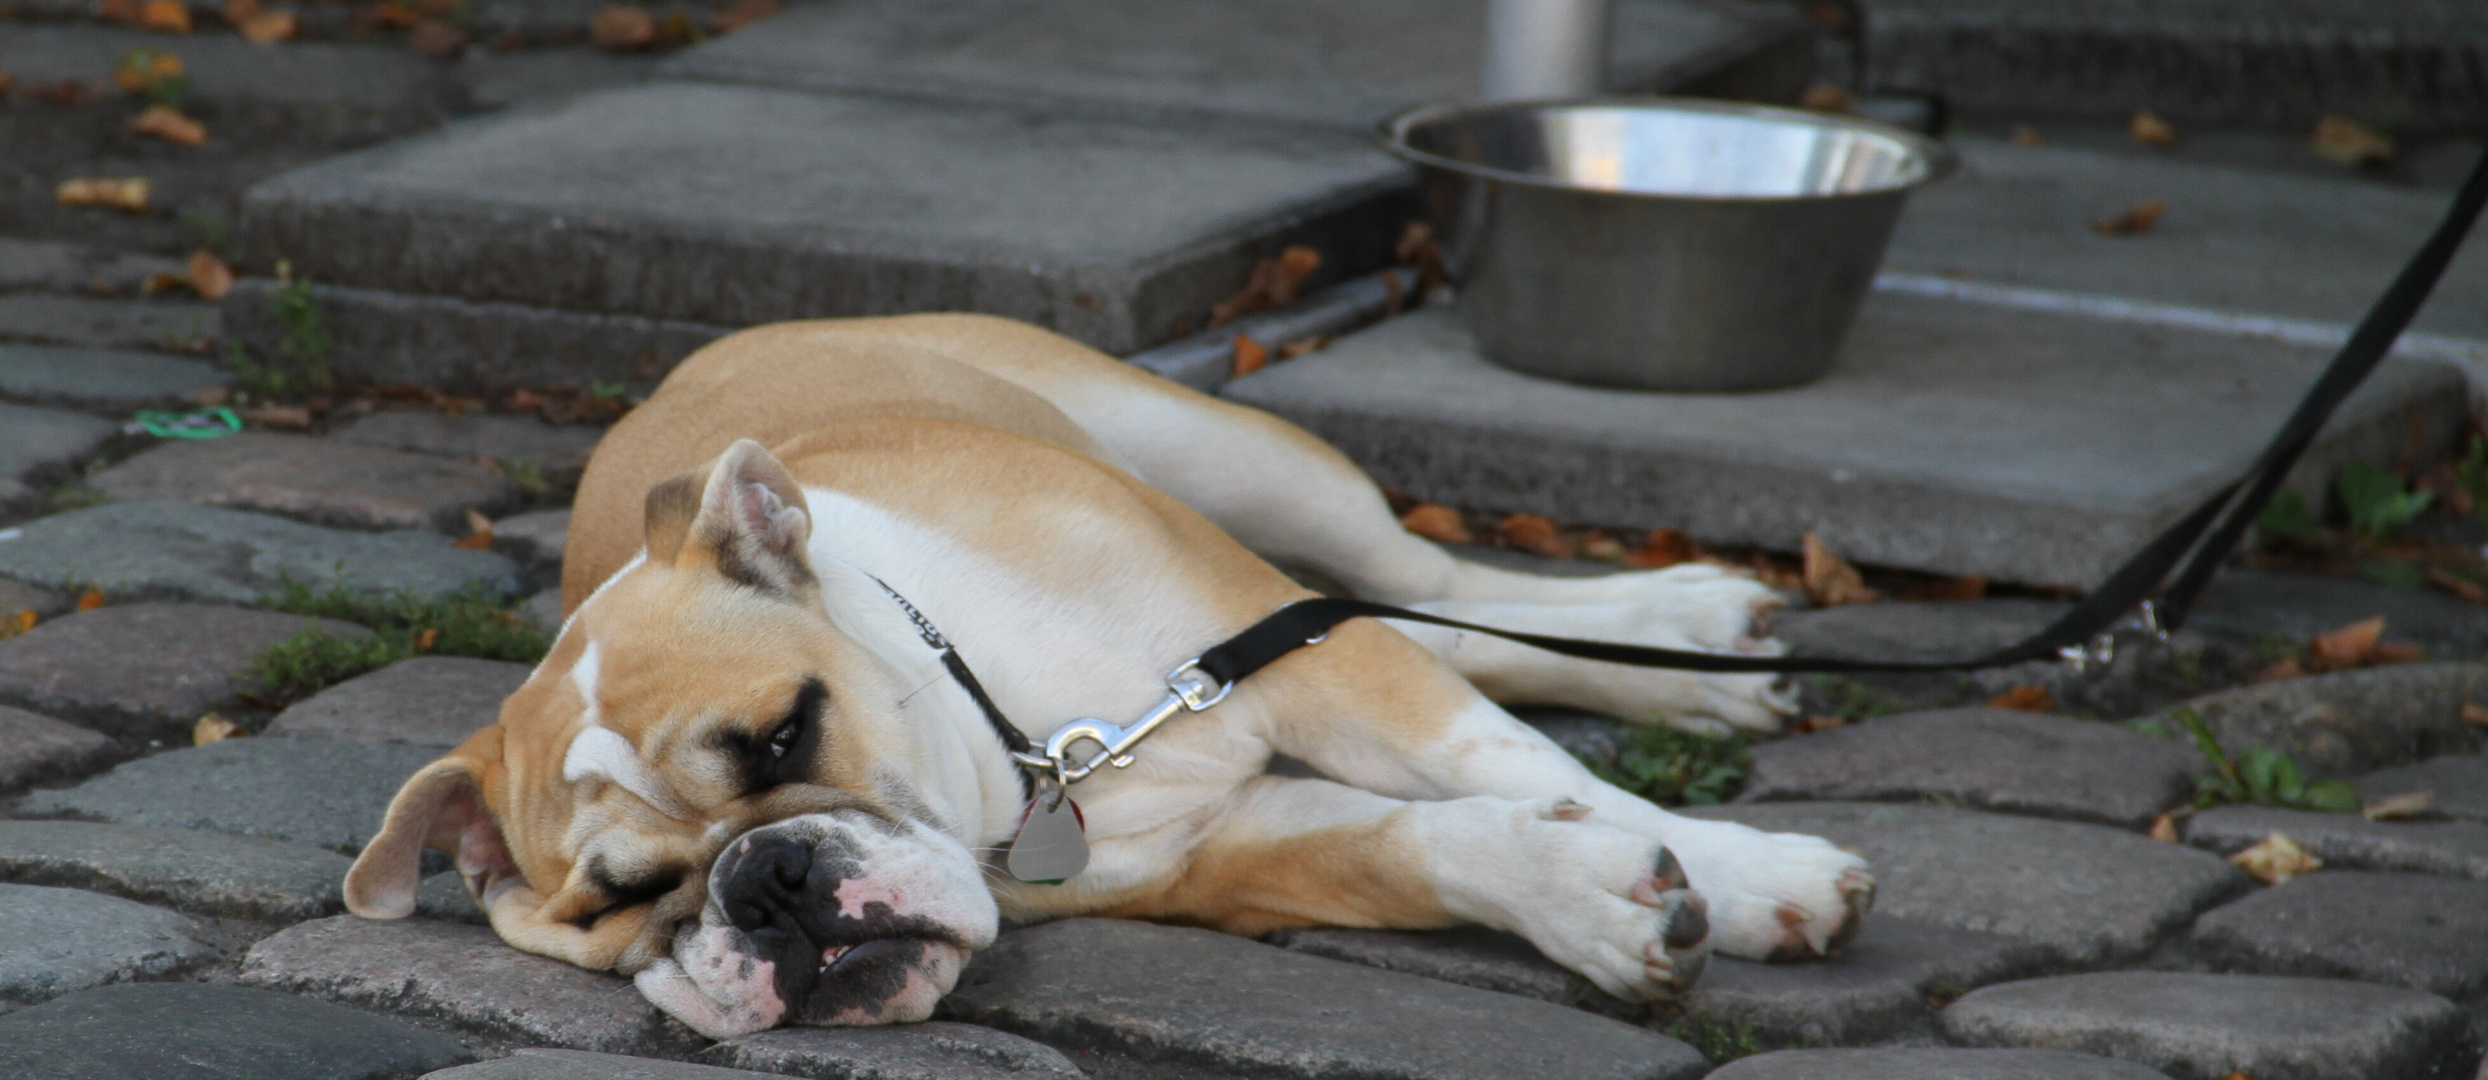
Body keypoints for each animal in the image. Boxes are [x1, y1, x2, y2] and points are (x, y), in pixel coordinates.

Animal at [345, 312, 1870, 1040]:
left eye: (785, 738)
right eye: (616, 904)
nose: (764, 883)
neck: (1027, 744)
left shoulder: (1301, 659)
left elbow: (1520, 766)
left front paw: (1747, 877)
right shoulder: (1233, 846)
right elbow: (1427, 846)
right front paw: (1590, 900)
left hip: (1238, 468)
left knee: (1431, 586)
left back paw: (1683, 625)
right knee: (1441, 622)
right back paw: (1701, 662)